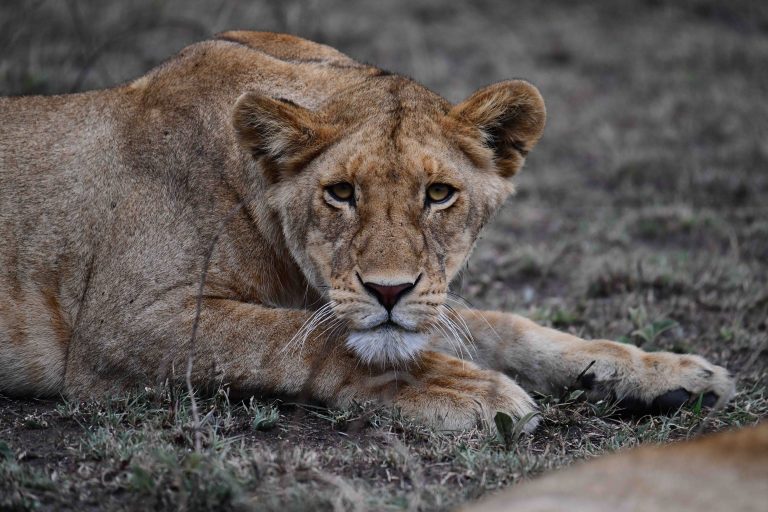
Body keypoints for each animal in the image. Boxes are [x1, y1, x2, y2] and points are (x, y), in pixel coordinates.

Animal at [0, 31, 735, 430]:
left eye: (439, 194)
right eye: (340, 193)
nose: (389, 291)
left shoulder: (427, 298)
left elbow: (510, 327)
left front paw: (663, 371)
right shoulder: (118, 324)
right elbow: (300, 336)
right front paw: (465, 388)